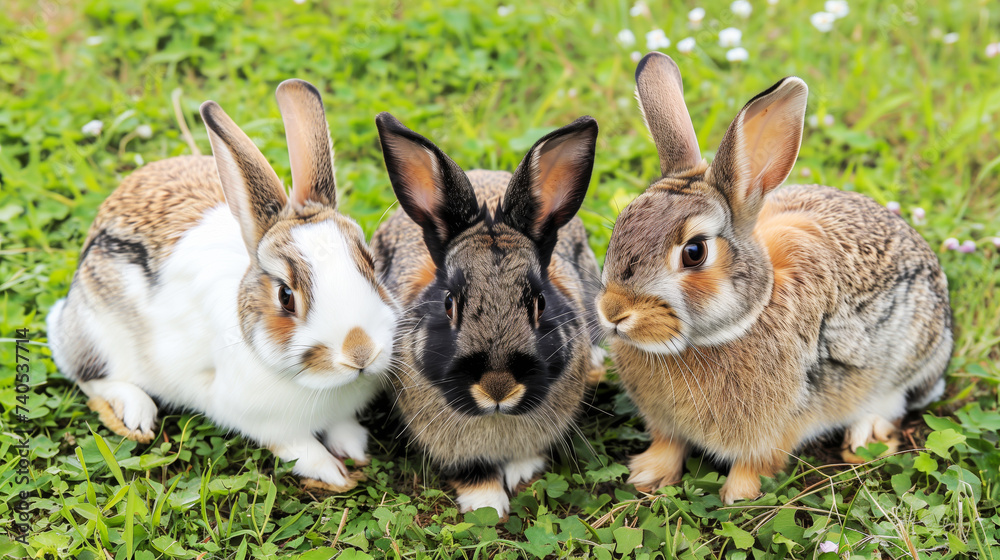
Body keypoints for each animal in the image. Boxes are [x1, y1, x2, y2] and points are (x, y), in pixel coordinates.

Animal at [46, 79, 398, 490]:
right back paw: (136, 413)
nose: (360, 353)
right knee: (88, 376)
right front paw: (332, 472)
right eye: (285, 296)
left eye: (371, 265)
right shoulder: (265, 422)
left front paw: (354, 449)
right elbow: (300, 448)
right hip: (97, 336)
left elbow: (342, 426)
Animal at [372, 112, 604, 516]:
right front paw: (488, 505)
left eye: (539, 302)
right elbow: (472, 473)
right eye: (449, 303)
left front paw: (521, 474)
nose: (498, 387)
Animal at [596, 52, 956, 506]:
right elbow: (669, 444)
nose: (614, 312)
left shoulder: (776, 427)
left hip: (905, 361)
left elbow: (755, 463)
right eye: (620, 227)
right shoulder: (665, 422)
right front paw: (648, 475)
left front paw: (738, 497)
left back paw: (863, 441)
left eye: (694, 252)